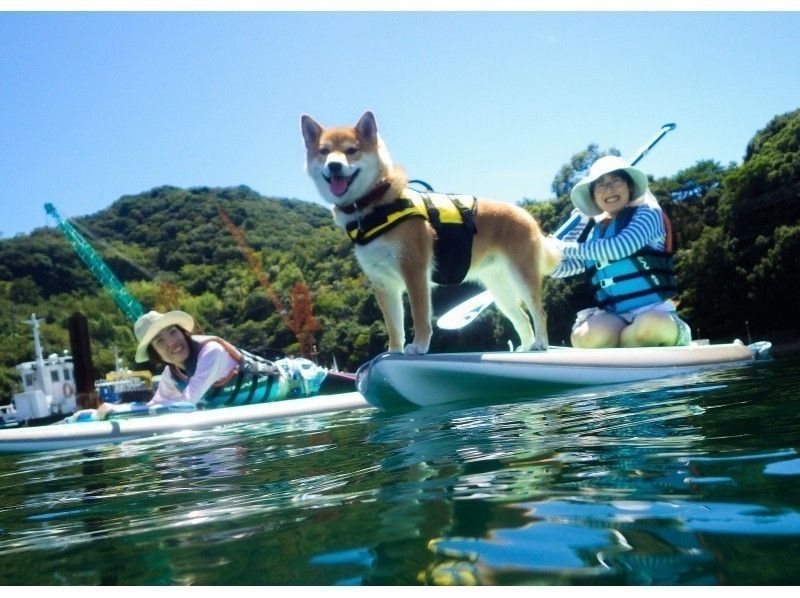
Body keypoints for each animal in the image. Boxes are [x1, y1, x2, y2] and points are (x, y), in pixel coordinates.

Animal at [298, 110, 556, 354]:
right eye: (324, 151)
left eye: (351, 150)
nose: (334, 165)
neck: (372, 207)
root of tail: (527, 216)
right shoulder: (383, 283)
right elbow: (393, 325)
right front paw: (393, 351)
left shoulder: (414, 270)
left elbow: (419, 315)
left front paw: (419, 346)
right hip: (500, 287)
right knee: (522, 317)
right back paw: (526, 346)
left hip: (522, 275)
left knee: (539, 312)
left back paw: (540, 343)